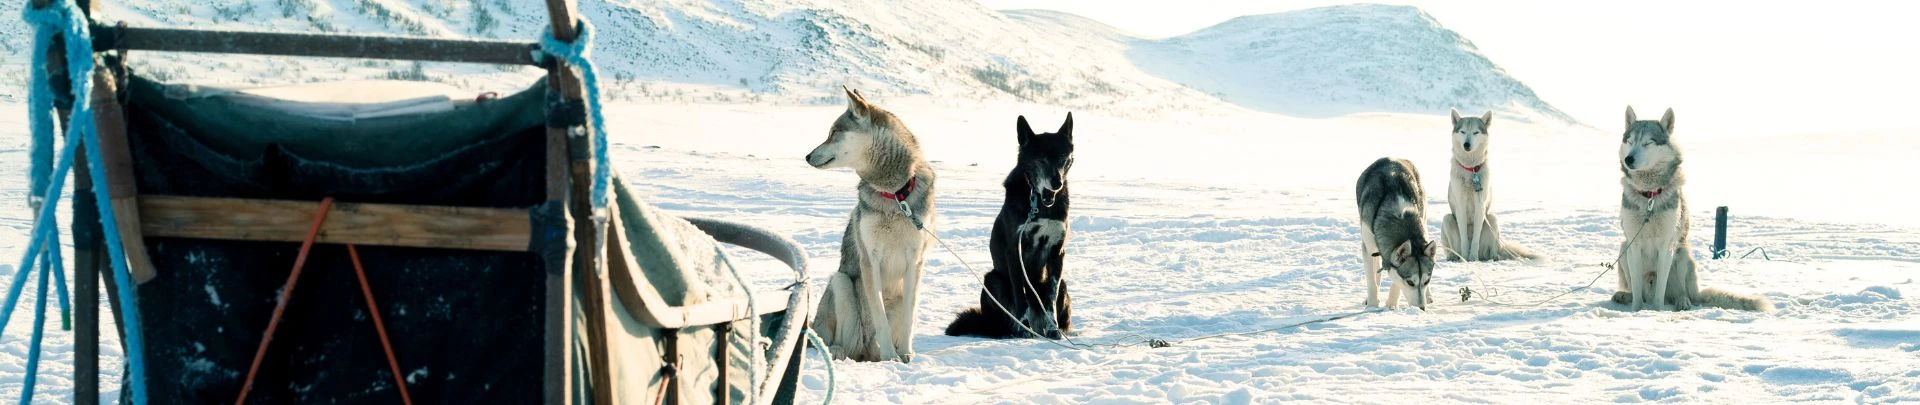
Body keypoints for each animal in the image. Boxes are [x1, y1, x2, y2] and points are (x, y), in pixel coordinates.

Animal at [802, 87, 936, 360]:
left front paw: (905, 355)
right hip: (841, 283)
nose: (807, 156)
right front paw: (890, 357)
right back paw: (840, 351)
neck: (894, 195)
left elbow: (909, 319)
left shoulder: (915, 262)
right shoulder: (869, 260)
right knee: (836, 342)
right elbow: (879, 317)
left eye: (833, 133)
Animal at [948, 112, 1082, 339]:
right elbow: (1021, 296)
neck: (1039, 203)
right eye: (1041, 159)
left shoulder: (1057, 253)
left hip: (1063, 284)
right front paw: (1023, 329)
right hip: (992, 280)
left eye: (1063, 158)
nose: (1056, 184)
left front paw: (1053, 330)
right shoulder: (1015, 251)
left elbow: (1051, 298)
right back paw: (1014, 330)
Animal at [1359, 158, 1436, 310]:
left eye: (1427, 281)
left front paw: (1391, 304)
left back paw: (1429, 296)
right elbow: (1371, 280)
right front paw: (1372, 305)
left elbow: (1396, 282)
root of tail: (1391, 158)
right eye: (1410, 282)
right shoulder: (1367, 245)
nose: (1421, 308)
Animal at [1443, 108, 1543, 261]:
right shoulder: (1460, 205)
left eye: (1475, 132)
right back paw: (1455, 257)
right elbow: (1464, 238)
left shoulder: (1480, 205)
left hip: (1492, 219)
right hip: (1447, 219)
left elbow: (1475, 239)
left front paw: (1472, 258)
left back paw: (1490, 258)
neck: (1471, 170)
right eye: (1463, 131)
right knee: (1454, 248)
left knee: (1492, 251)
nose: (1466, 144)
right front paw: (1466, 257)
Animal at [1605, 107, 1766, 310]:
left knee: (1678, 293)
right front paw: (1637, 312)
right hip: (1623, 249)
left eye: (1648, 142)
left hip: (1683, 255)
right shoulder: (1633, 244)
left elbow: (1659, 296)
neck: (1650, 196)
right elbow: (1637, 297)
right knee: (1638, 292)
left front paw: (1655, 312)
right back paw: (1624, 295)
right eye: (1630, 141)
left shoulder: (1666, 245)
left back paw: (1682, 301)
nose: (1629, 159)